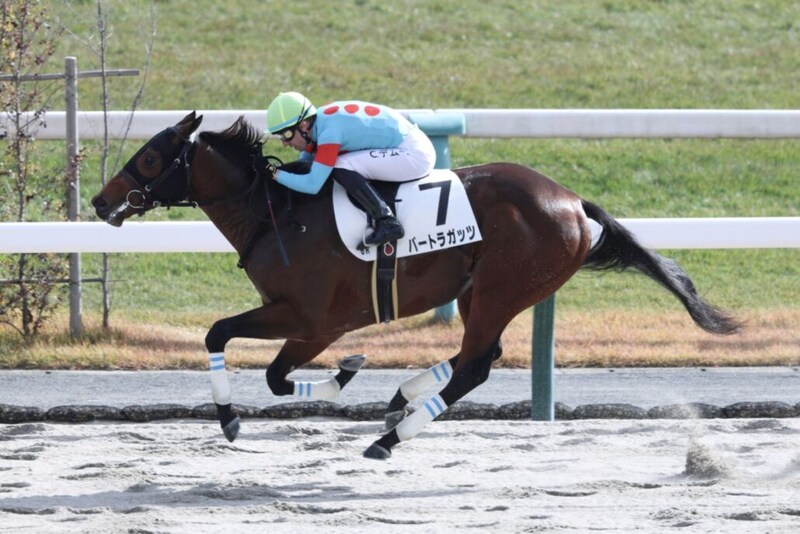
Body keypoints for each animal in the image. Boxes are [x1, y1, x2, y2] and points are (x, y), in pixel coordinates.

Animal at [91, 112, 740, 459]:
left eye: (149, 159)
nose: (99, 202)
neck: (277, 213)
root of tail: (575, 202)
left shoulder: (312, 319)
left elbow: (231, 344)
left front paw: (233, 416)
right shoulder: (304, 320)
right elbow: (263, 368)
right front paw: (344, 377)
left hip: (502, 288)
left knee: (475, 364)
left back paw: (392, 436)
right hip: (483, 289)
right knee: (480, 355)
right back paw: (402, 399)